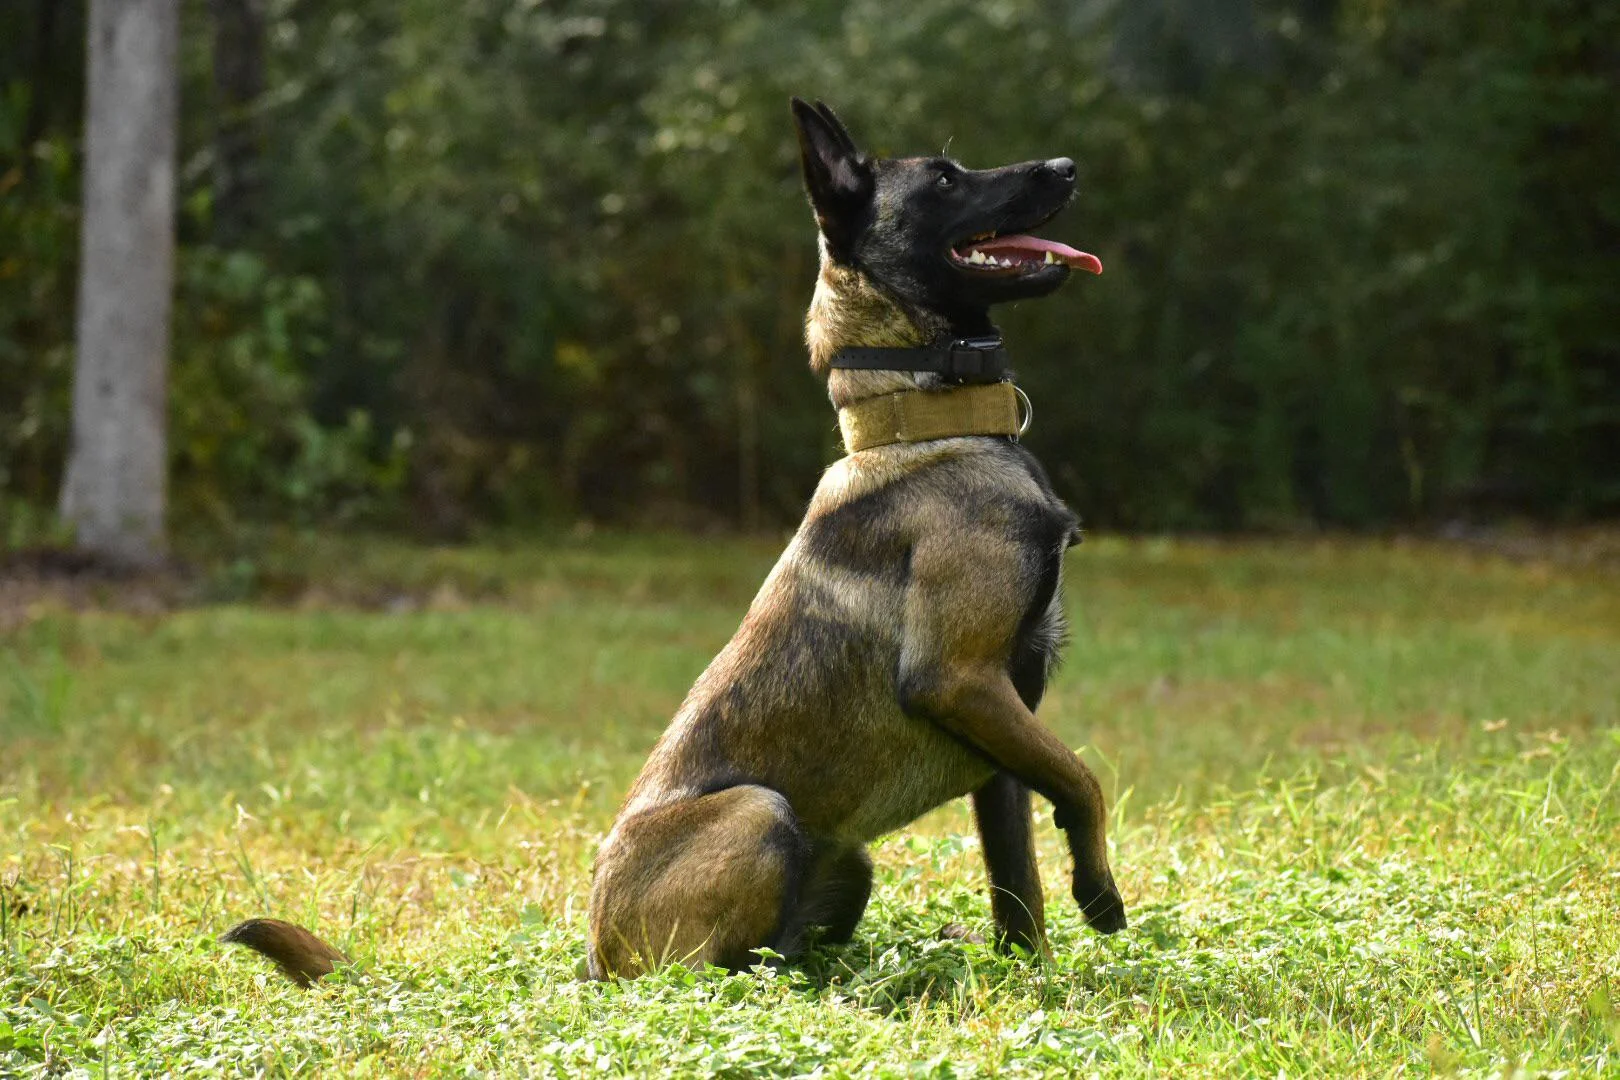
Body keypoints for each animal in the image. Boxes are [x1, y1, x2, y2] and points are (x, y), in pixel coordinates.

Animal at [218, 99, 1127, 990]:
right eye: (944, 179)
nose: (1067, 167)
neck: (922, 424)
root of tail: (590, 958)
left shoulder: (1003, 726)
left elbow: (1019, 883)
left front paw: (1037, 978)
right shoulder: (961, 681)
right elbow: (1084, 780)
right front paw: (1100, 892)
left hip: (844, 861)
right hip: (762, 812)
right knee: (706, 974)